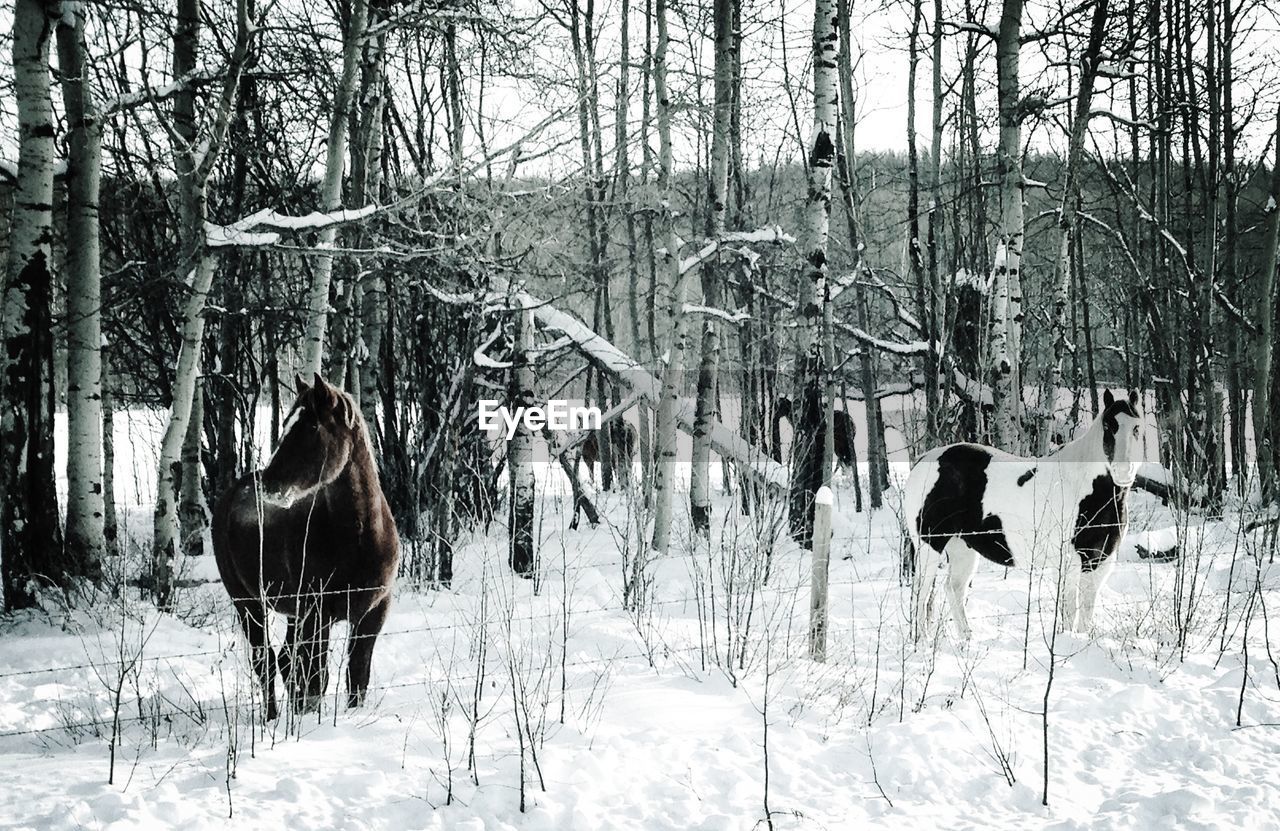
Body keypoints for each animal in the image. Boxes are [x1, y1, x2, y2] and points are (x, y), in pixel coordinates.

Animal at [212, 373, 399, 717]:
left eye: (311, 426)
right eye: (287, 423)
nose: (268, 484)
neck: (360, 538)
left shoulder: (372, 614)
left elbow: (357, 676)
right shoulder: (316, 615)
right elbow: (315, 679)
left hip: (292, 613)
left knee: (285, 659)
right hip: (248, 604)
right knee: (265, 661)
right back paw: (271, 718)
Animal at [906, 391, 1146, 642]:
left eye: (1137, 427)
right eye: (1108, 425)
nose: (1123, 471)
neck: (1088, 487)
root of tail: (924, 459)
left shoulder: (1102, 559)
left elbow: (1087, 609)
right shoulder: (1071, 561)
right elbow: (1070, 609)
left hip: (962, 548)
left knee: (953, 590)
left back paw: (967, 640)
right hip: (928, 546)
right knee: (920, 594)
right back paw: (921, 642)